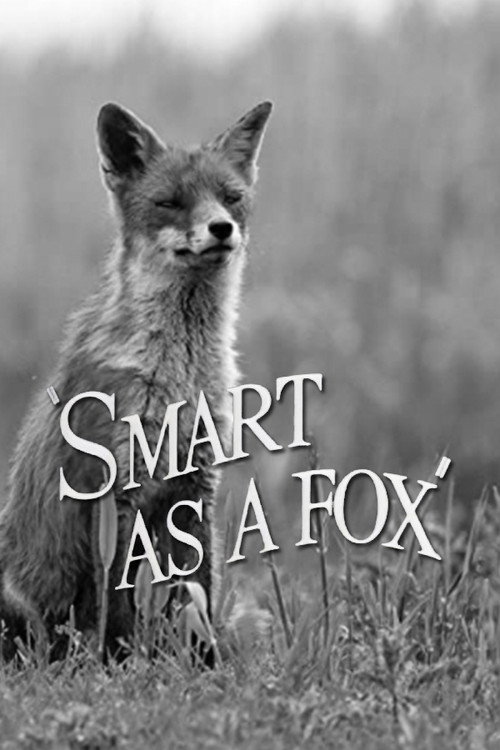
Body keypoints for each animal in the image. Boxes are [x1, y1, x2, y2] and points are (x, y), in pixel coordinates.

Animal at [0, 99, 273, 657]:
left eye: (231, 199)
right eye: (169, 202)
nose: (221, 228)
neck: (180, 377)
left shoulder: (196, 483)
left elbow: (197, 593)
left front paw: (202, 664)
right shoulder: (113, 488)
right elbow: (119, 602)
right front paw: (119, 664)